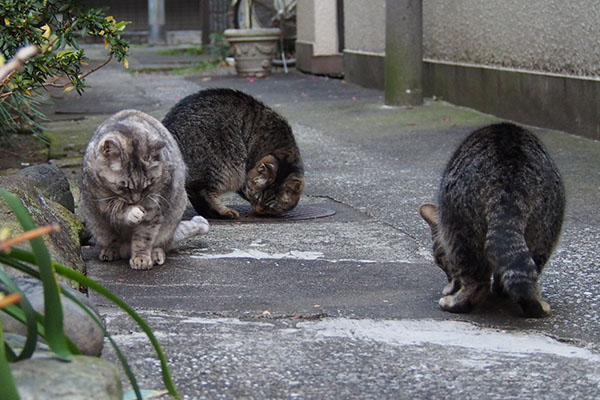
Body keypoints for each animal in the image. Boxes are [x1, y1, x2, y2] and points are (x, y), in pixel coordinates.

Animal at [82, 109, 209, 268]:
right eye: (124, 186)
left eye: (148, 184)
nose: (137, 200)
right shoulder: (102, 201)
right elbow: (119, 210)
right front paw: (134, 212)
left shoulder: (154, 206)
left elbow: (144, 237)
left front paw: (141, 258)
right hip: (96, 224)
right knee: (113, 242)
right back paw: (110, 251)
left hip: (173, 217)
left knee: (160, 244)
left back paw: (155, 254)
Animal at [162, 88, 304, 219]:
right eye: (256, 197)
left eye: (271, 206)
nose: (258, 210)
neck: (282, 150)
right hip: (225, 165)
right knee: (204, 191)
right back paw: (222, 211)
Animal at [420, 123, 564, 318]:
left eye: (442, 264)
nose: (449, 280)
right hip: (544, 232)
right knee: (526, 274)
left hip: (462, 233)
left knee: (478, 285)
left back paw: (453, 303)